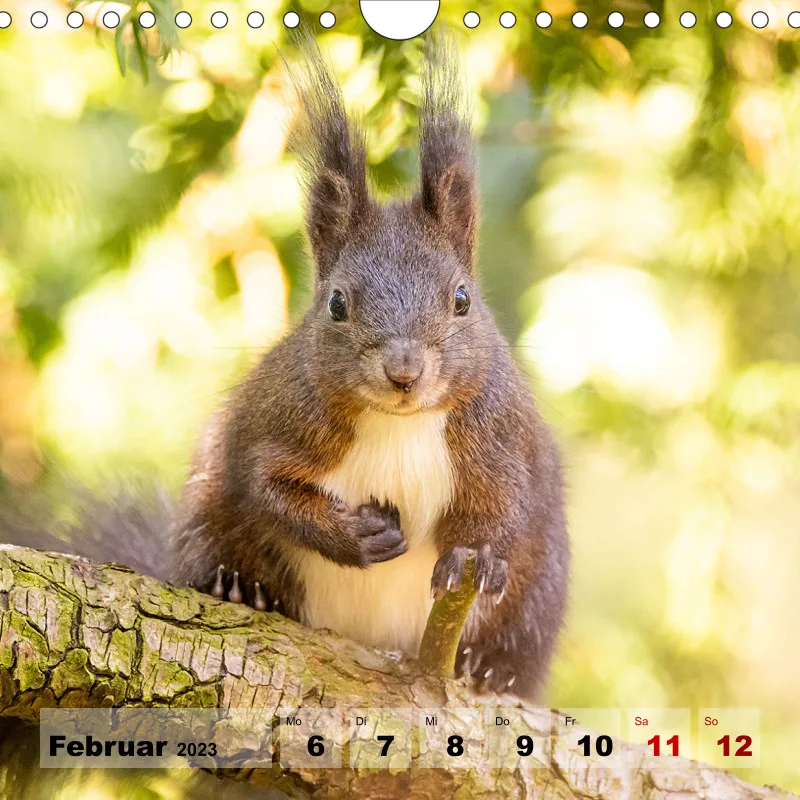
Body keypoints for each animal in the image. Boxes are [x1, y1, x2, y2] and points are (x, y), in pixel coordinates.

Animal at [0, 39, 569, 701]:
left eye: (461, 299)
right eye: (337, 303)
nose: (404, 373)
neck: (398, 423)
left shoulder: (500, 437)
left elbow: (506, 506)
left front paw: (474, 558)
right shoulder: (276, 417)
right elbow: (264, 482)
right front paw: (352, 536)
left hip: (542, 593)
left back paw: (491, 667)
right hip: (205, 518)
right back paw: (238, 585)